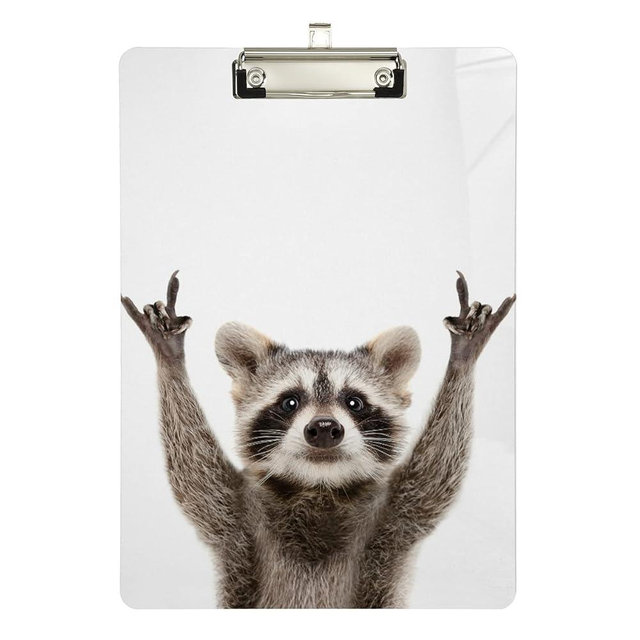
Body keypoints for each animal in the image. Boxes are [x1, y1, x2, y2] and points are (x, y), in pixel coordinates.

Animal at [121, 271, 515, 608]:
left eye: (354, 402)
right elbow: (194, 475)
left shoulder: (394, 518)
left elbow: (436, 473)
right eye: (290, 402)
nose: (324, 428)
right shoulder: (236, 519)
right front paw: (170, 359)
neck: (319, 486)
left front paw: (462, 358)